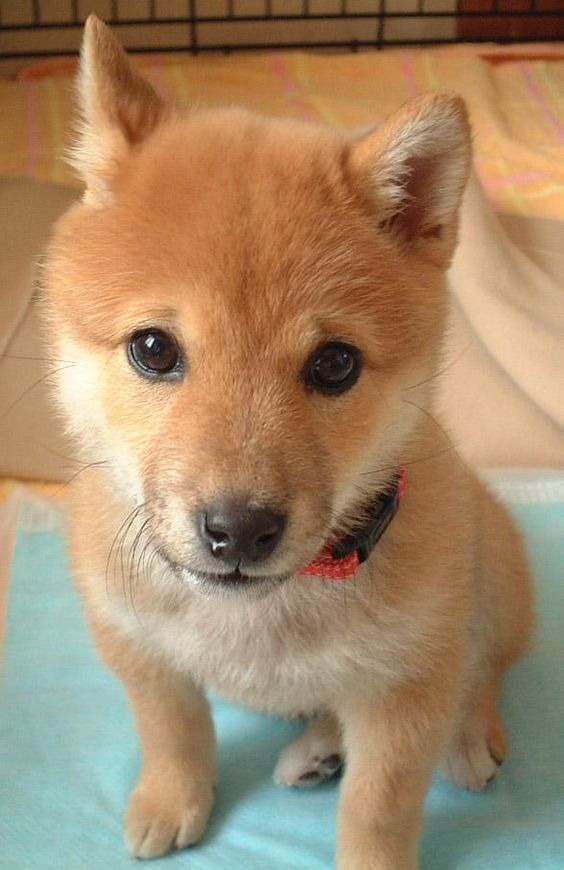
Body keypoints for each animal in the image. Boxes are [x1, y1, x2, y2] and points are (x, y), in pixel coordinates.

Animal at [43, 15, 532, 870]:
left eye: (335, 364)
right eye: (153, 349)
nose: (238, 529)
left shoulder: (404, 689)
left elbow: (379, 810)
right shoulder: (137, 646)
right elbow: (173, 731)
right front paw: (172, 798)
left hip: (492, 571)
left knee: (485, 667)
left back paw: (469, 736)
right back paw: (318, 747)